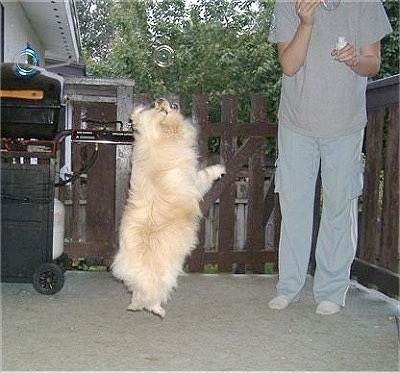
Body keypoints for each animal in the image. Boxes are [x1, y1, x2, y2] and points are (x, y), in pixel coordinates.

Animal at [112, 98, 225, 316]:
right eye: (163, 110)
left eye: (157, 106)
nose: (162, 100)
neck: (156, 140)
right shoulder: (194, 181)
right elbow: (206, 174)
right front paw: (220, 169)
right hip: (165, 278)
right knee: (152, 298)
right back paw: (159, 311)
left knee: (137, 296)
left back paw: (135, 305)